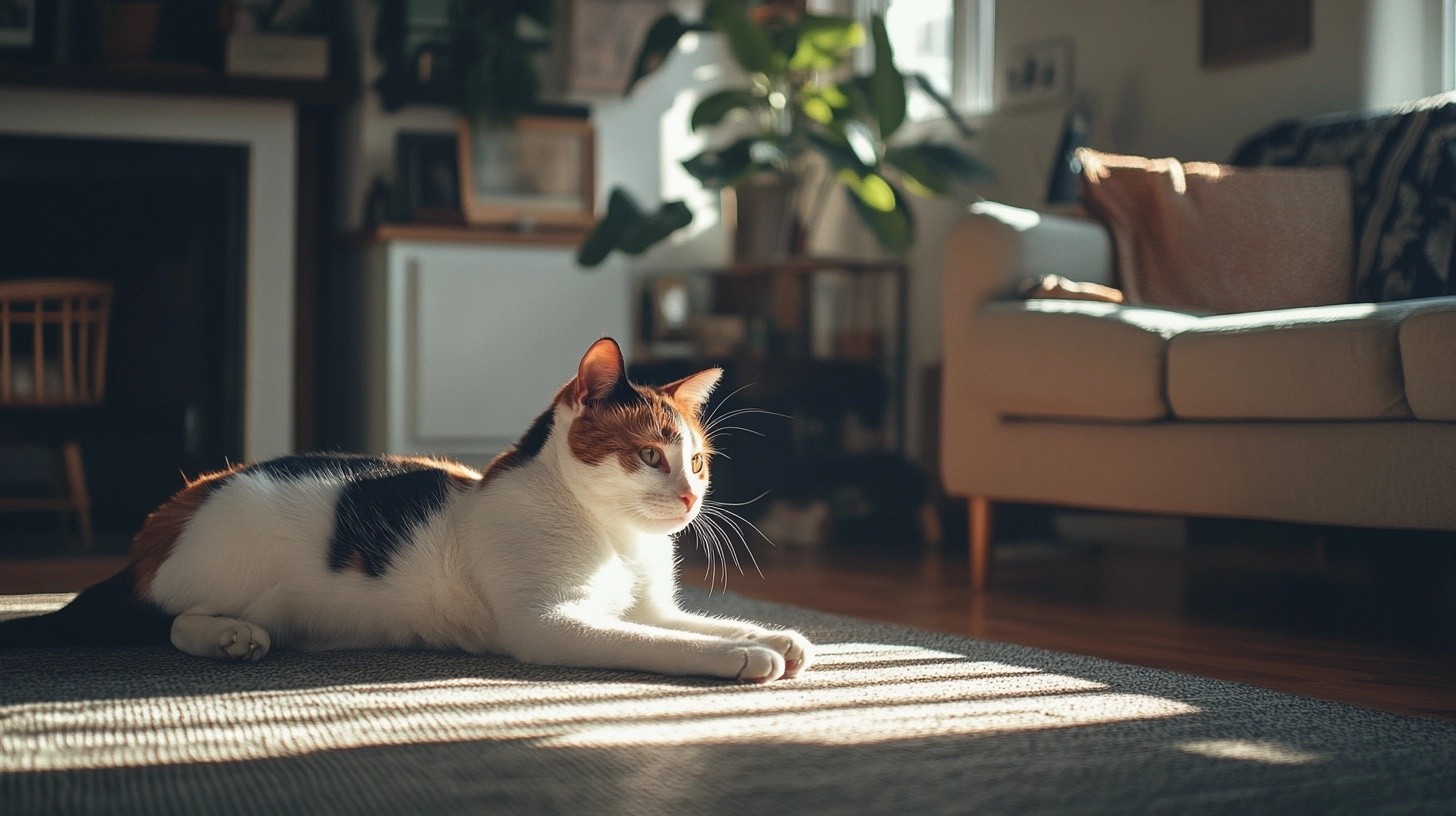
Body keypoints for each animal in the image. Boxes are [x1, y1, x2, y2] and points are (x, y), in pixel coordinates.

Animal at [0, 338, 815, 681]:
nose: (690, 496)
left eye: (699, 461)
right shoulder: (554, 624)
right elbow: (665, 642)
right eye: (648, 455)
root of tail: (181, 501)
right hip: (224, 555)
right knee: (163, 620)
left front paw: (776, 634)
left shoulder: (648, 604)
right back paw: (229, 637)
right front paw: (745, 655)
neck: (615, 539)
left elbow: (695, 620)